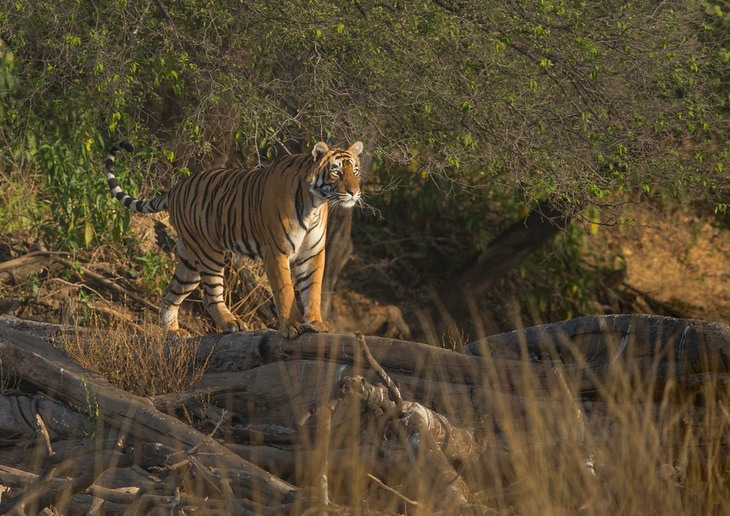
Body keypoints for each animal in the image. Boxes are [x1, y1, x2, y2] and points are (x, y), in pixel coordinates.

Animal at [102, 139, 364, 338]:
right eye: (336, 171)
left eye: (355, 171)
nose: (354, 192)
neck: (315, 204)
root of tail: (176, 187)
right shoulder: (276, 251)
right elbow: (285, 291)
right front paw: (291, 326)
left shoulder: (312, 253)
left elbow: (313, 289)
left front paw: (316, 323)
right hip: (209, 253)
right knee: (210, 296)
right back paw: (231, 323)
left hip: (189, 261)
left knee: (170, 292)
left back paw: (173, 333)